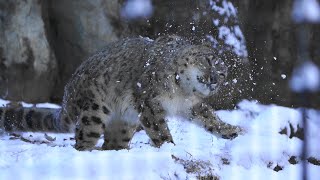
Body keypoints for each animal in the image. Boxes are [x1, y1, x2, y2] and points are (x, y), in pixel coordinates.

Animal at [0, 35, 240, 150]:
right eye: (209, 61)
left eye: (223, 73)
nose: (214, 80)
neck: (183, 92)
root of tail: (68, 95)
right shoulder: (149, 101)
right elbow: (159, 128)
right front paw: (168, 146)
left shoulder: (192, 105)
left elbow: (209, 118)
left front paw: (231, 131)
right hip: (94, 110)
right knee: (83, 139)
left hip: (125, 122)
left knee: (111, 143)